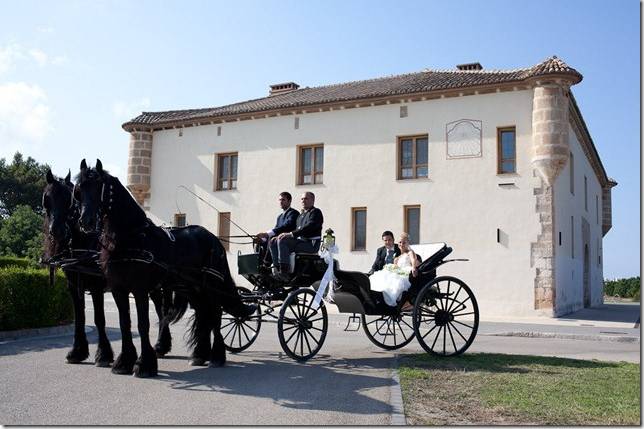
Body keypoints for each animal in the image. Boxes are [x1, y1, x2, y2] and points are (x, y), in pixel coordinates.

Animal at [42, 169, 174, 366]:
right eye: (47, 199)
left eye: (69, 199)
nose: (56, 230)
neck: (85, 244)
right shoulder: (73, 286)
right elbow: (79, 318)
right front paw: (77, 351)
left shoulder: (97, 287)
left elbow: (99, 319)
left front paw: (103, 354)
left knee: (160, 309)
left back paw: (160, 345)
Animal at [75, 159, 254, 376]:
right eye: (79, 190)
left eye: (99, 187)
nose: (85, 221)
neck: (130, 238)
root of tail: (213, 238)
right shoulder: (119, 290)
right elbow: (125, 323)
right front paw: (124, 362)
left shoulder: (140, 289)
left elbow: (143, 324)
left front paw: (144, 365)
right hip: (192, 288)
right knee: (204, 314)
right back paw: (199, 355)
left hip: (211, 286)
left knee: (215, 316)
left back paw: (217, 357)